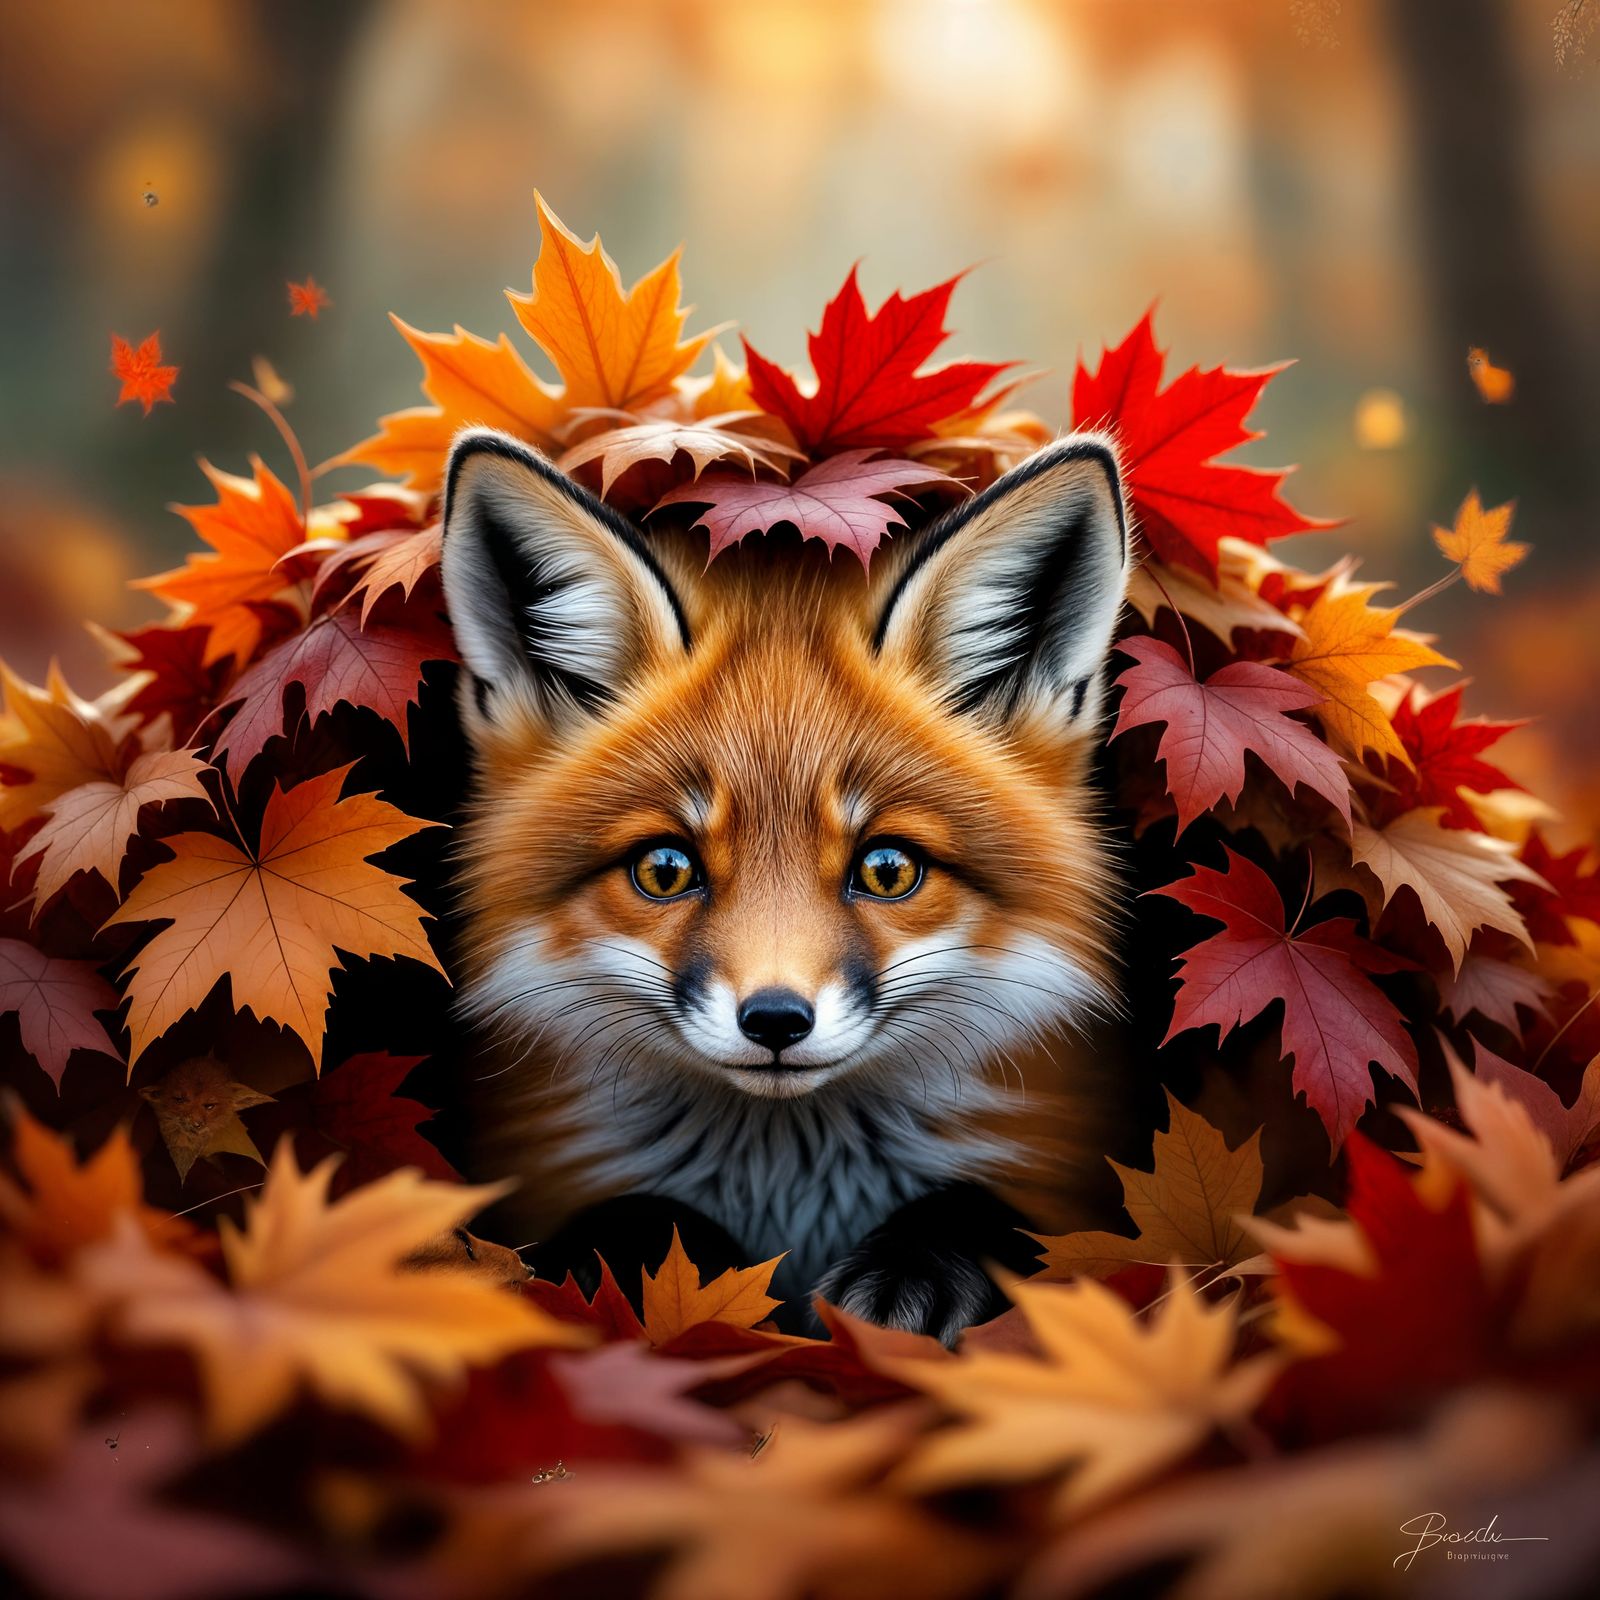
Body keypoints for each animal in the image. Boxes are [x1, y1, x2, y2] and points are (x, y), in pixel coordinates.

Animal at [438, 426, 1133, 1341]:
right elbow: (623, 1219)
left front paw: (918, 1269)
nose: (775, 1020)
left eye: (887, 869)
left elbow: (994, 1213)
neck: (789, 1186)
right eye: (665, 869)